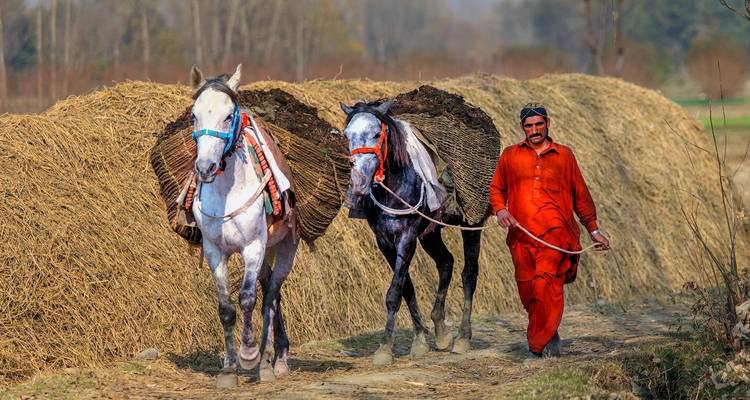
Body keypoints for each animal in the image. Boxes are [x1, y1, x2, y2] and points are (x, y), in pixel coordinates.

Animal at [190, 64, 299, 387]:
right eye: (194, 116)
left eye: (228, 115)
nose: (205, 168)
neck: (227, 193)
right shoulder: (215, 251)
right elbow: (226, 307)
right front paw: (228, 368)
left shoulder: (253, 247)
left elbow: (248, 299)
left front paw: (249, 354)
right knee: (270, 291)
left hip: (283, 249)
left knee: (271, 296)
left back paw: (271, 361)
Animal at [340, 100, 484, 365]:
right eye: (347, 135)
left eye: (376, 134)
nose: (358, 181)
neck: (397, 185)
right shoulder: (385, 241)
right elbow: (406, 288)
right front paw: (419, 340)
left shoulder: (406, 237)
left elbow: (394, 292)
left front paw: (385, 348)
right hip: (430, 234)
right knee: (446, 262)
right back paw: (441, 331)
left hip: (472, 224)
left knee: (469, 273)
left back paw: (462, 338)